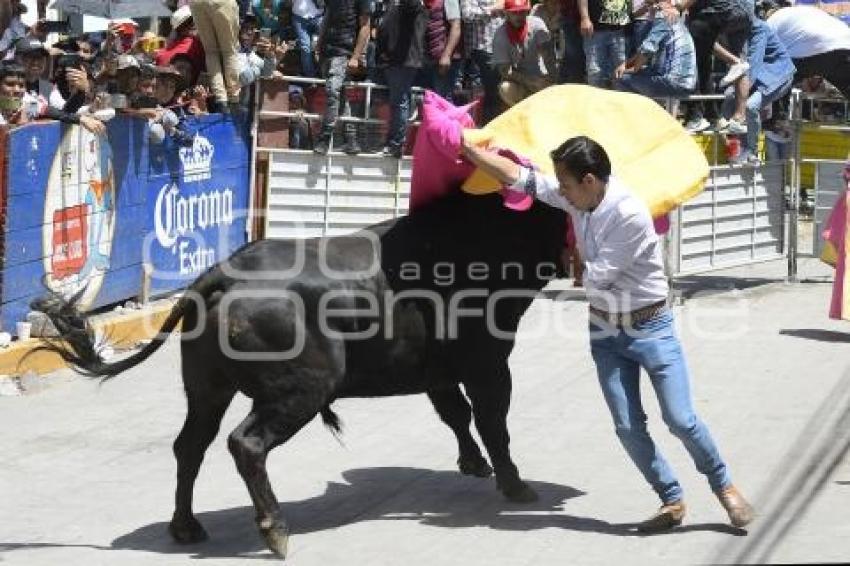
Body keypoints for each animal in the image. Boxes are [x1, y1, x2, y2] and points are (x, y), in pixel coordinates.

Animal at [33, 192, 568, 560]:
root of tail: (223, 273)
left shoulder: (439, 369)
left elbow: (456, 413)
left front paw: (474, 464)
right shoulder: (489, 363)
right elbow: (492, 421)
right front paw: (515, 484)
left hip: (207, 389)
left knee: (190, 446)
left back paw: (186, 527)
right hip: (300, 391)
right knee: (245, 444)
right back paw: (275, 529)